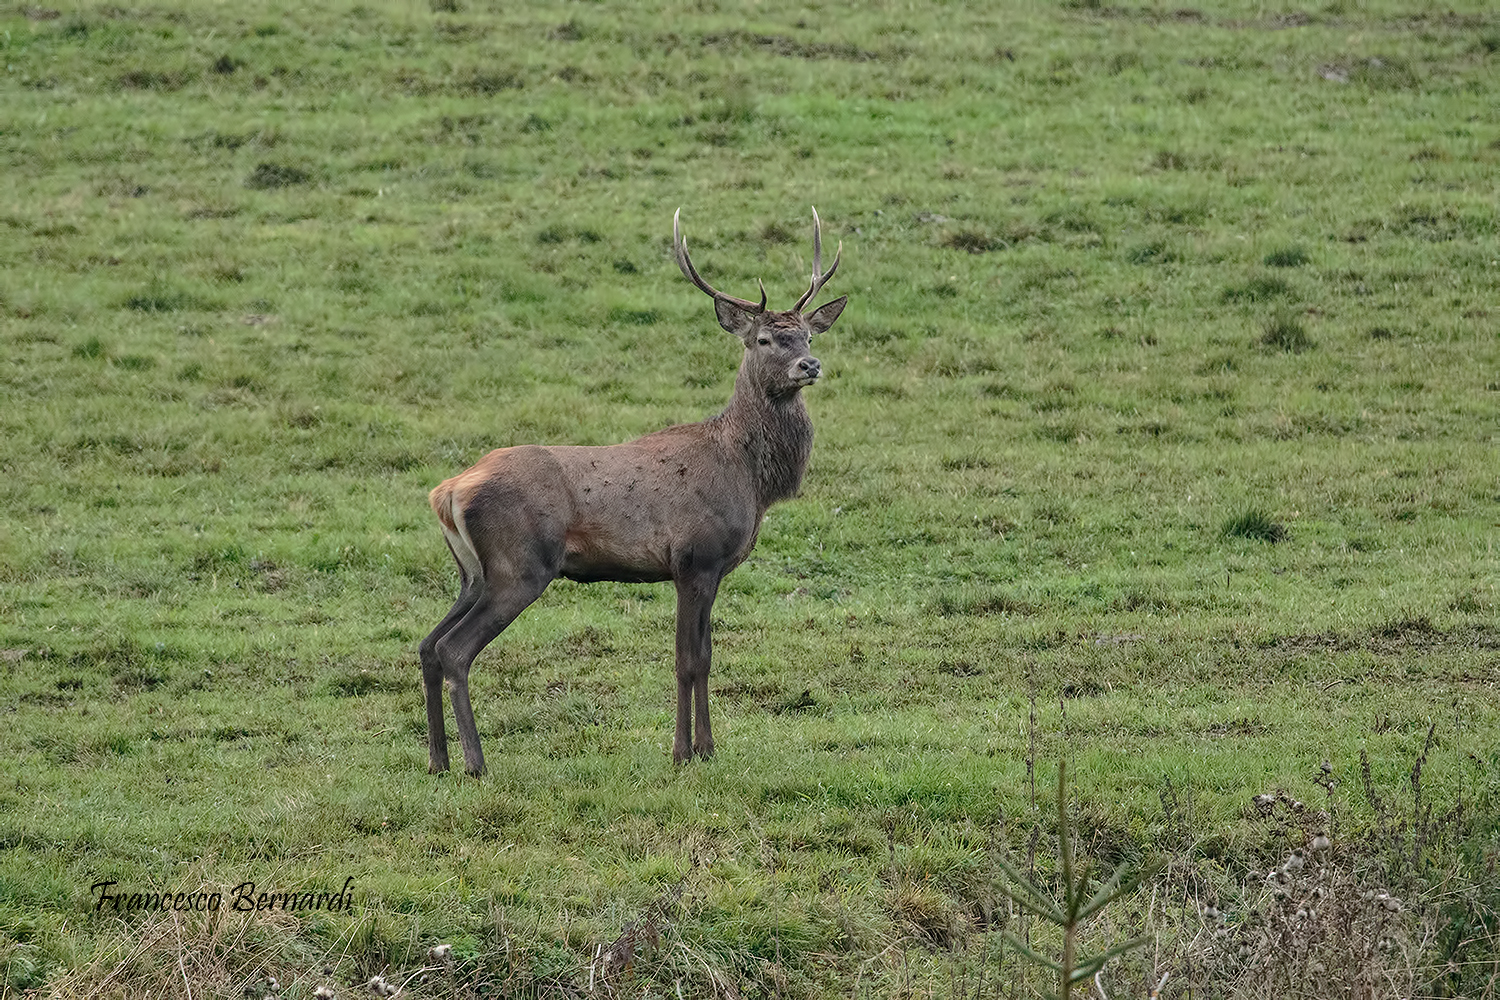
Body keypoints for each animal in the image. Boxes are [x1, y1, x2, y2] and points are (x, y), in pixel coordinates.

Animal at [419, 208, 847, 775]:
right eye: (763, 340)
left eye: (808, 338)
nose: (809, 366)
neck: (752, 479)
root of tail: (446, 492)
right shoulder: (695, 557)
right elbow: (688, 660)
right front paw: (684, 752)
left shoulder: (708, 569)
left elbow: (707, 657)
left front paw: (708, 748)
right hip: (519, 565)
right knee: (454, 650)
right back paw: (475, 762)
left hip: (471, 573)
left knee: (427, 645)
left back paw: (438, 761)